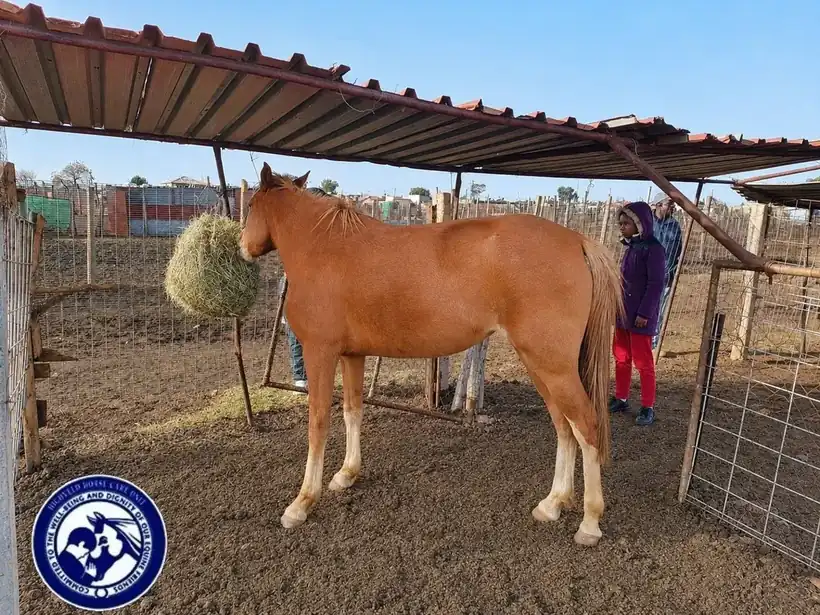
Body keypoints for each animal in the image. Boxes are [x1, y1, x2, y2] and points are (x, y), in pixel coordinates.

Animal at [239, 162, 624, 546]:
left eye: (250, 205)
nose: (243, 247)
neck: (324, 247)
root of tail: (577, 240)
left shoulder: (320, 353)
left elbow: (317, 424)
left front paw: (302, 502)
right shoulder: (352, 355)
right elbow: (352, 411)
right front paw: (347, 474)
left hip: (552, 366)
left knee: (586, 426)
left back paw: (589, 522)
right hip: (541, 365)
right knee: (564, 427)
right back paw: (553, 503)